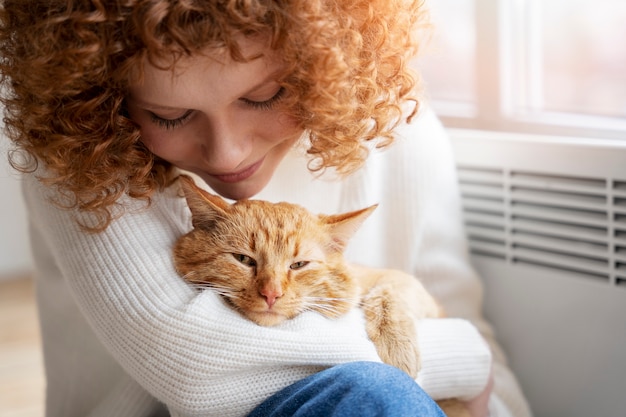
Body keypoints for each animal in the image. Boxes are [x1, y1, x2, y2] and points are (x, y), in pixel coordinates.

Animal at [171, 174, 468, 414]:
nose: (271, 294)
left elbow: (392, 290)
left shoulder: (412, 290)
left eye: (298, 265)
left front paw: (397, 346)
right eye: (243, 259)